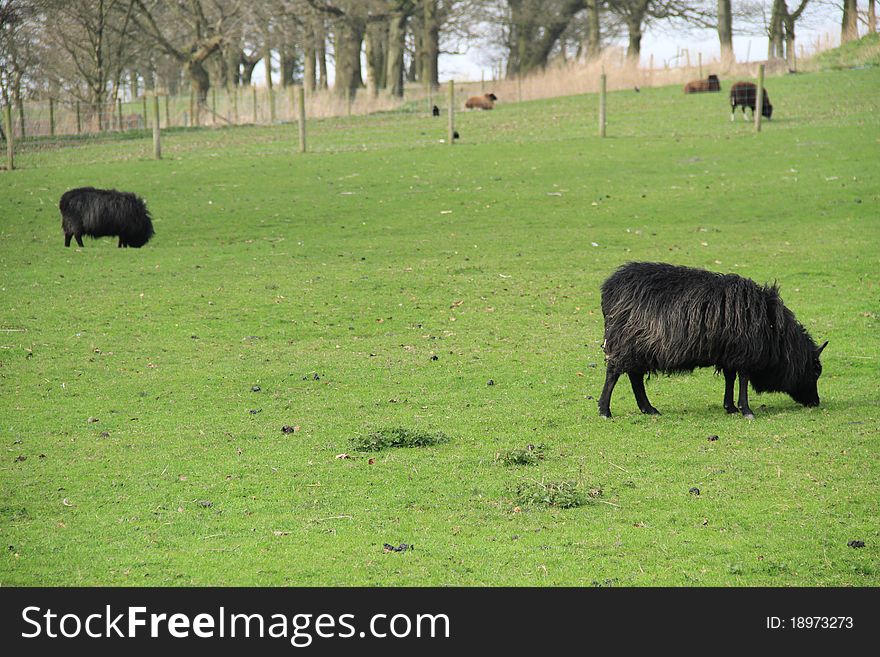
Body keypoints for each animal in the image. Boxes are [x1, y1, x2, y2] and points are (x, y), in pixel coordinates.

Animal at [596, 260, 828, 418]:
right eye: (815, 370)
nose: (815, 402)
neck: (775, 333)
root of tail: (609, 289)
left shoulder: (730, 354)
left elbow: (730, 377)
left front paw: (730, 407)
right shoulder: (745, 353)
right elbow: (742, 379)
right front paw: (746, 410)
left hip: (638, 346)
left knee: (634, 376)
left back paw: (648, 408)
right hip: (625, 341)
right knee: (614, 373)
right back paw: (605, 410)